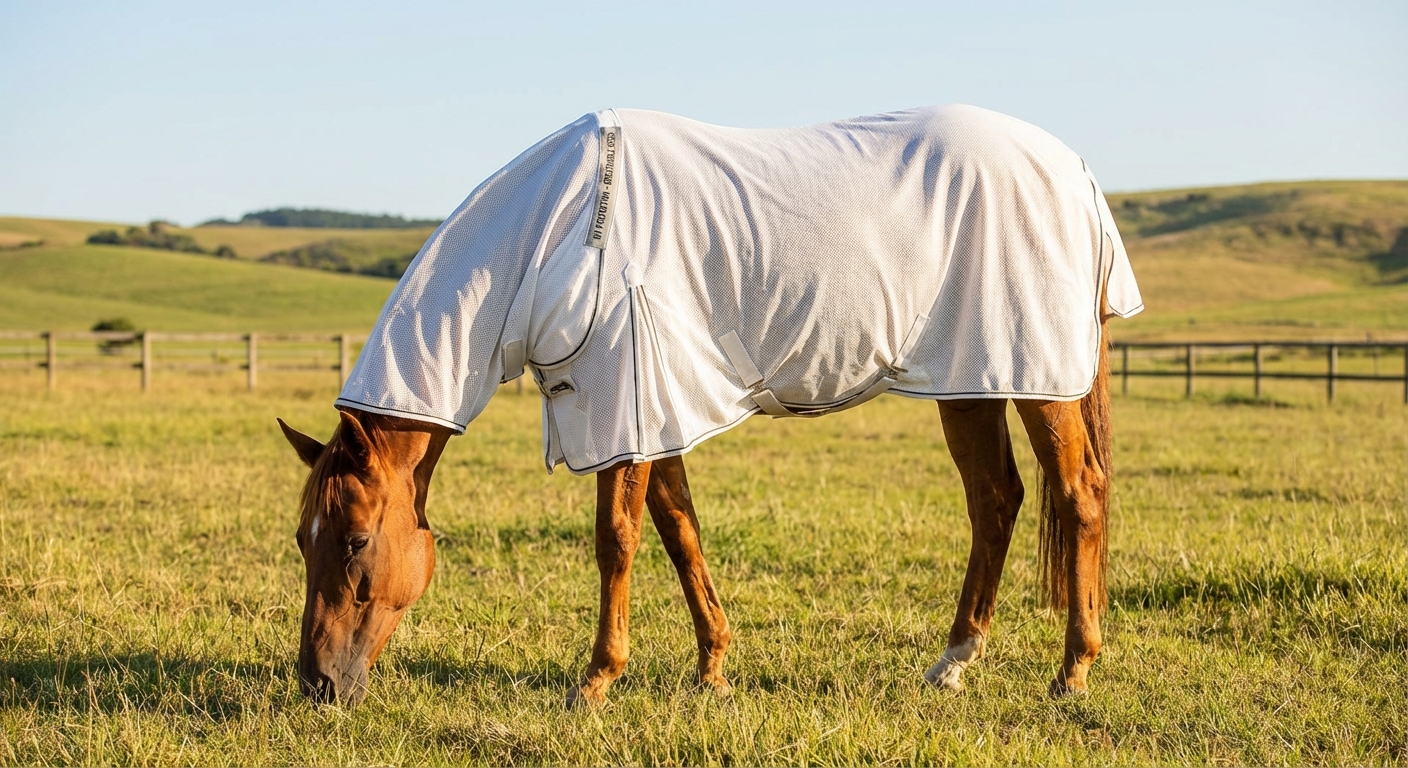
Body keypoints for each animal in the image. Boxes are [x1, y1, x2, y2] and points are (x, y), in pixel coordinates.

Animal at [278, 104, 1142, 706]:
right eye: (300, 538)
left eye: (355, 540)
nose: (318, 684)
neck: (557, 232)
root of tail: (1076, 174)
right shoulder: (653, 410)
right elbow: (680, 531)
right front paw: (712, 670)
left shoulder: (619, 402)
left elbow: (618, 540)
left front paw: (596, 680)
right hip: (970, 381)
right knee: (996, 501)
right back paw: (953, 664)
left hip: (1040, 379)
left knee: (1080, 494)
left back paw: (1072, 672)